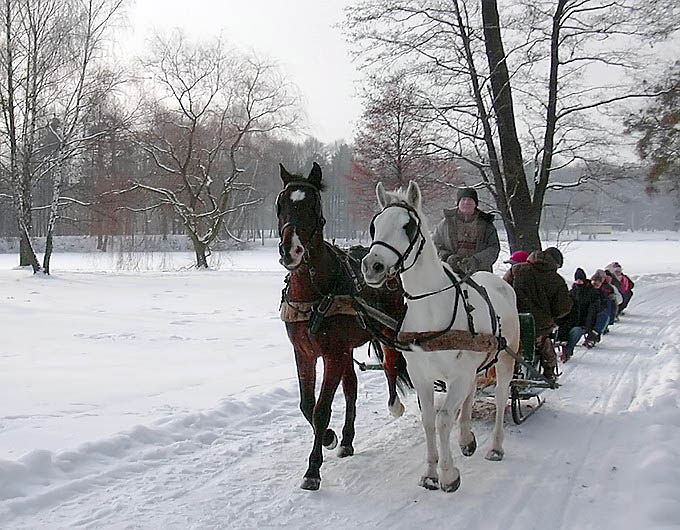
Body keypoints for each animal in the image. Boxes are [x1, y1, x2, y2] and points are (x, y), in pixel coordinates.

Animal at [278, 161, 410, 486]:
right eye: (281, 204)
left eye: (313, 206)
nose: (290, 250)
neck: (314, 291)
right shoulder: (305, 353)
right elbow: (307, 405)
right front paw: (328, 437)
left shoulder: (333, 354)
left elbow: (322, 409)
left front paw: (313, 468)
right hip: (348, 348)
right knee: (351, 387)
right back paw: (348, 439)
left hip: (387, 330)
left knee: (391, 363)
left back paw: (394, 404)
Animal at [364, 182, 516, 490]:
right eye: (375, 225)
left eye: (408, 226)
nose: (372, 266)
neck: (431, 309)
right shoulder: (422, 376)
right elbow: (428, 419)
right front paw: (431, 472)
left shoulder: (458, 375)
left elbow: (444, 418)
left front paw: (448, 474)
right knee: (471, 393)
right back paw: (466, 438)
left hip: (505, 359)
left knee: (501, 396)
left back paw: (495, 446)